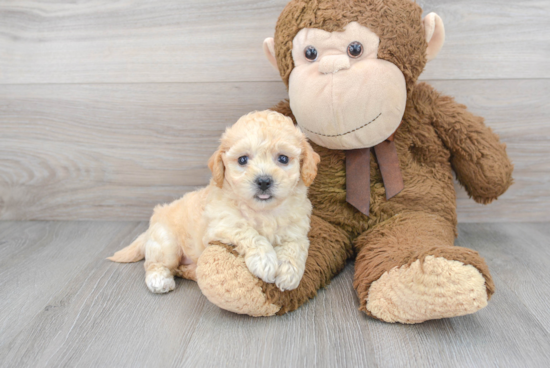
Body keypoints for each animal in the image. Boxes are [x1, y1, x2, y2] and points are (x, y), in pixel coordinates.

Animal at [108, 110, 322, 294]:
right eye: (242, 160)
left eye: (283, 158)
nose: (263, 181)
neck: (263, 211)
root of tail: (154, 222)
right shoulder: (222, 224)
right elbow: (248, 232)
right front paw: (265, 261)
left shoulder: (296, 231)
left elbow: (295, 247)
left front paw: (288, 273)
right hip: (166, 242)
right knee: (156, 263)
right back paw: (159, 279)